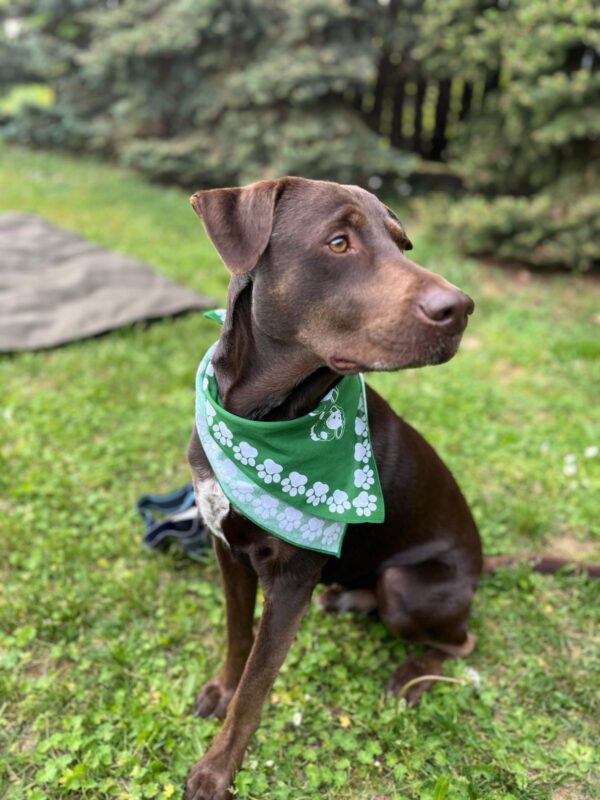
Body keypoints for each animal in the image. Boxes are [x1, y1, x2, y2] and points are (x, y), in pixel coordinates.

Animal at [185, 177, 480, 800]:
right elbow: (236, 639)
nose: (461, 309)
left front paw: (216, 770)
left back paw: (410, 676)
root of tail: (483, 563)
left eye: (402, 246)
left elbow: (256, 688)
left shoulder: (291, 579)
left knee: (461, 641)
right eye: (339, 242)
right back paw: (347, 598)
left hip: (405, 585)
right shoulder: (226, 548)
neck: (264, 420)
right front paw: (220, 691)